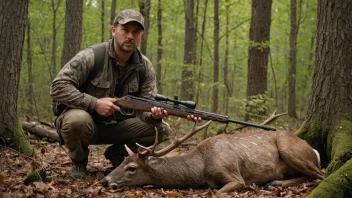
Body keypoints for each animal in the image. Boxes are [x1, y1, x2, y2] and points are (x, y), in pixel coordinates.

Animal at [100, 120, 324, 195]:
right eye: (122, 161)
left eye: (132, 168)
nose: (104, 181)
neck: (201, 168)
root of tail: (314, 150)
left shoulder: (235, 175)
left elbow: (218, 192)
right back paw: (275, 182)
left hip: (289, 149)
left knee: (320, 175)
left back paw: (275, 182)